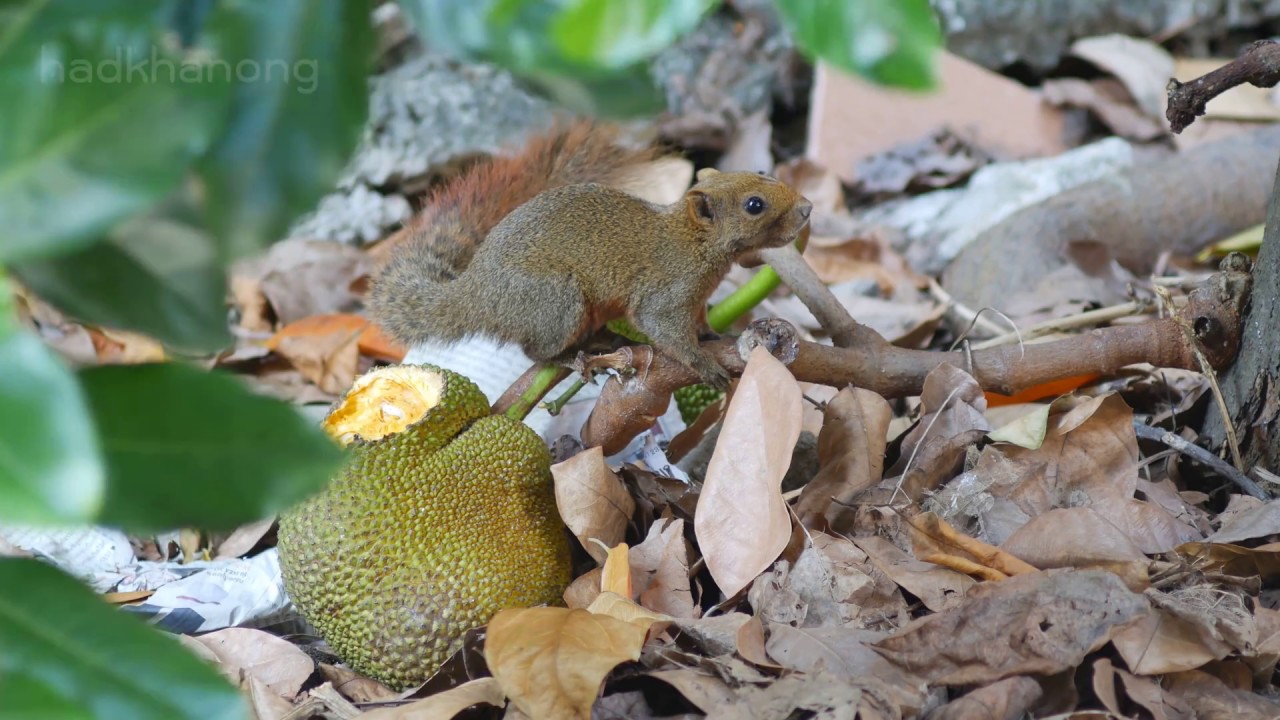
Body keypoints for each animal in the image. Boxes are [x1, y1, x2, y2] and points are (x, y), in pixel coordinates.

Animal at [368, 121, 813, 390]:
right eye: (754, 205)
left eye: (762, 172)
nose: (807, 208)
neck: (693, 241)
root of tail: (474, 293)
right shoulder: (667, 293)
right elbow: (663, 329)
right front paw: (704, 365)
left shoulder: (695, 299)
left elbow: (699, 320)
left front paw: (711, 335)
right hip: (555, 301)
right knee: (534, 351)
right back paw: (571, 358)